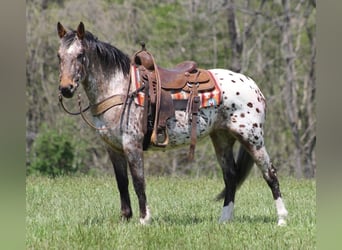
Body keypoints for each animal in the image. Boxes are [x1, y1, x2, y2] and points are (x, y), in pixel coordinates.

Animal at [57, 21, 288, 226]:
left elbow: (138, 181)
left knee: (270, 173)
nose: (66, 88)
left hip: (252, 138)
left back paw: (282, 219)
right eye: (59, 56)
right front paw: (125, 219)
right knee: (230, 177)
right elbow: (122, 183)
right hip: (222, 139)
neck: (121, 88)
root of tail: (252, 85)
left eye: (80, 55)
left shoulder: (131, 144)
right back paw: (224, 220)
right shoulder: (113, 148)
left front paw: (144, 220)